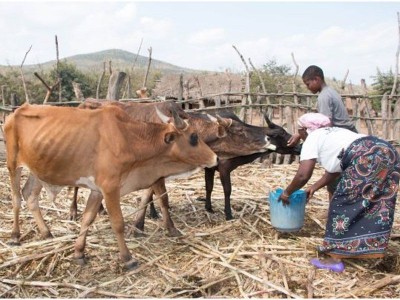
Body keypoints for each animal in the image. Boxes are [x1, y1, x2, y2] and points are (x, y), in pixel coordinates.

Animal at [4, 103, 217, 270]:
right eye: (193, 137)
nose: (215, 157)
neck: (129, 139)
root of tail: (15, 112)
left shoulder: (97, 190)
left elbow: (87, 218)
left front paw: (79, 252)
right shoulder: (110, 188)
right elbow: (118, 223)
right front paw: (127, 259)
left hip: (37, 170)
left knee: (30, 196)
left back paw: (46, 233)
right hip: (13, 164)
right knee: (16, 199)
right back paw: (15, 236)